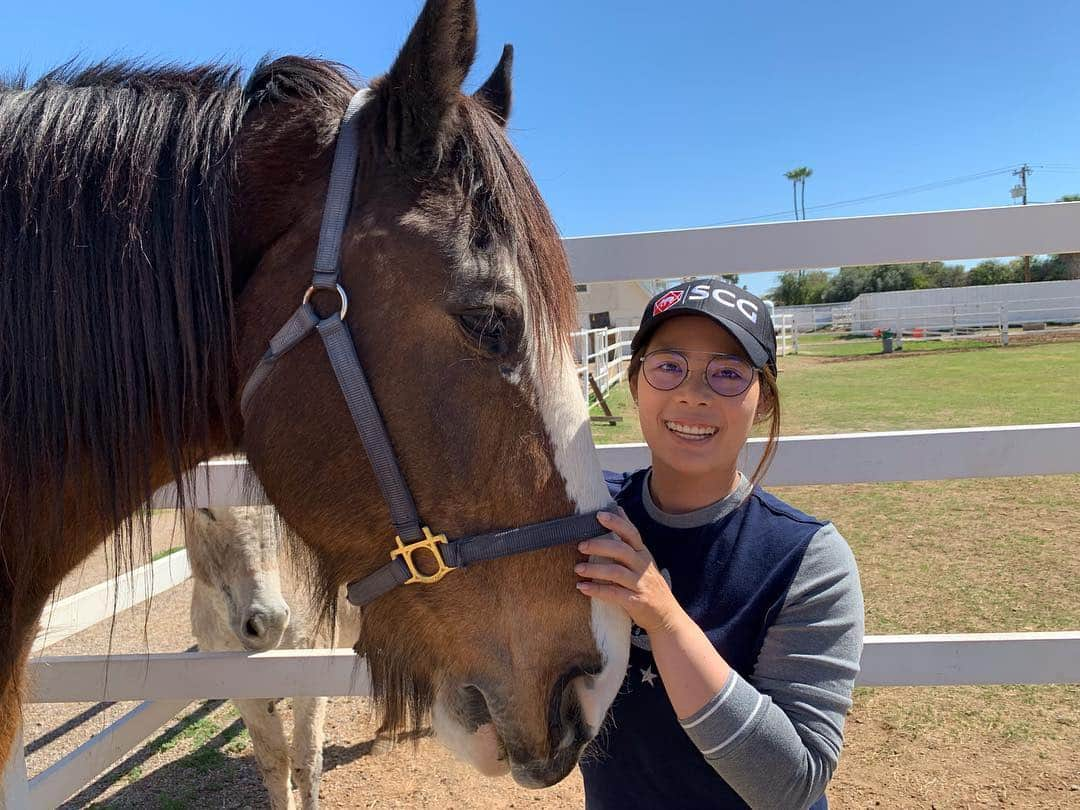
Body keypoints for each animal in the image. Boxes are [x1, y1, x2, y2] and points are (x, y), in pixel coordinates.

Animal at [181, 507, 358, 810]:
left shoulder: (311, 680)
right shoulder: (245, 695)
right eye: (205, 511)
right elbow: (273, 764)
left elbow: (306, 763)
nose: (269, 622)